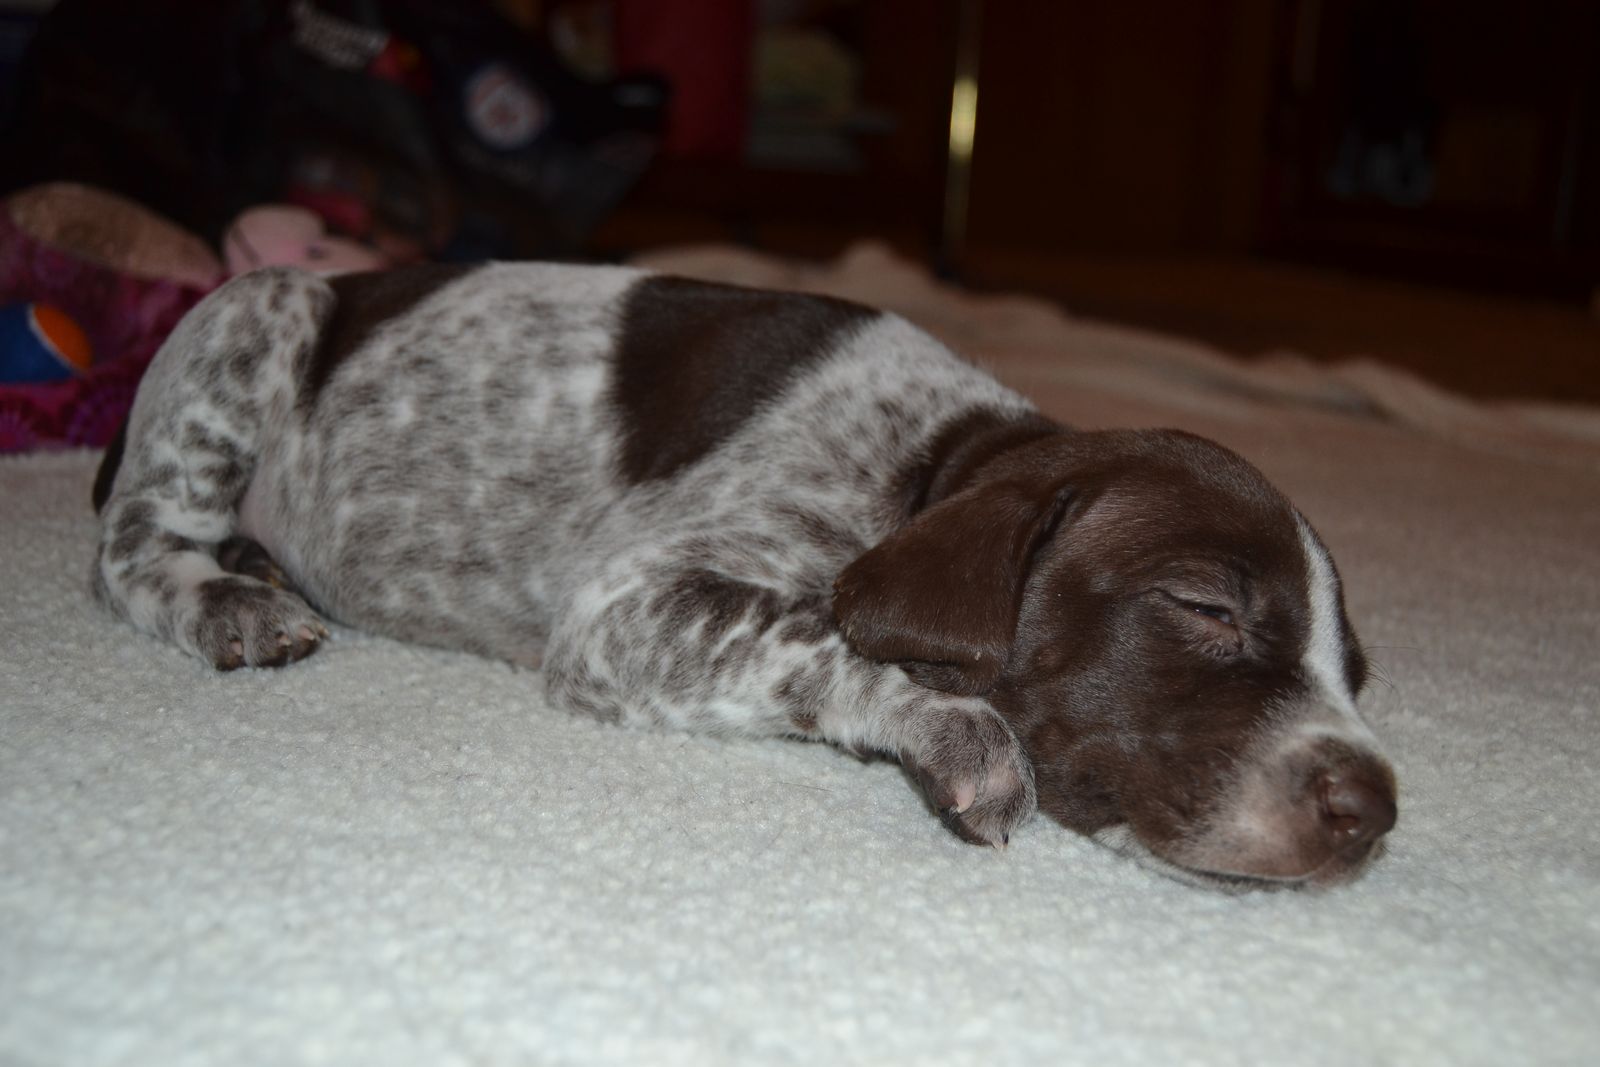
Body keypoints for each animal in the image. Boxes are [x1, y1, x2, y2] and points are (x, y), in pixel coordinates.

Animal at [91, 262, 1397, 889]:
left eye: (1355, 672)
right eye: (1206, 607)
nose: (1377, 811)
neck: (925, 463)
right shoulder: (623, 607)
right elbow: (818, 638)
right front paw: (955, 731)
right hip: (256, 317)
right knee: (127, 552)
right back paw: (225, 596)